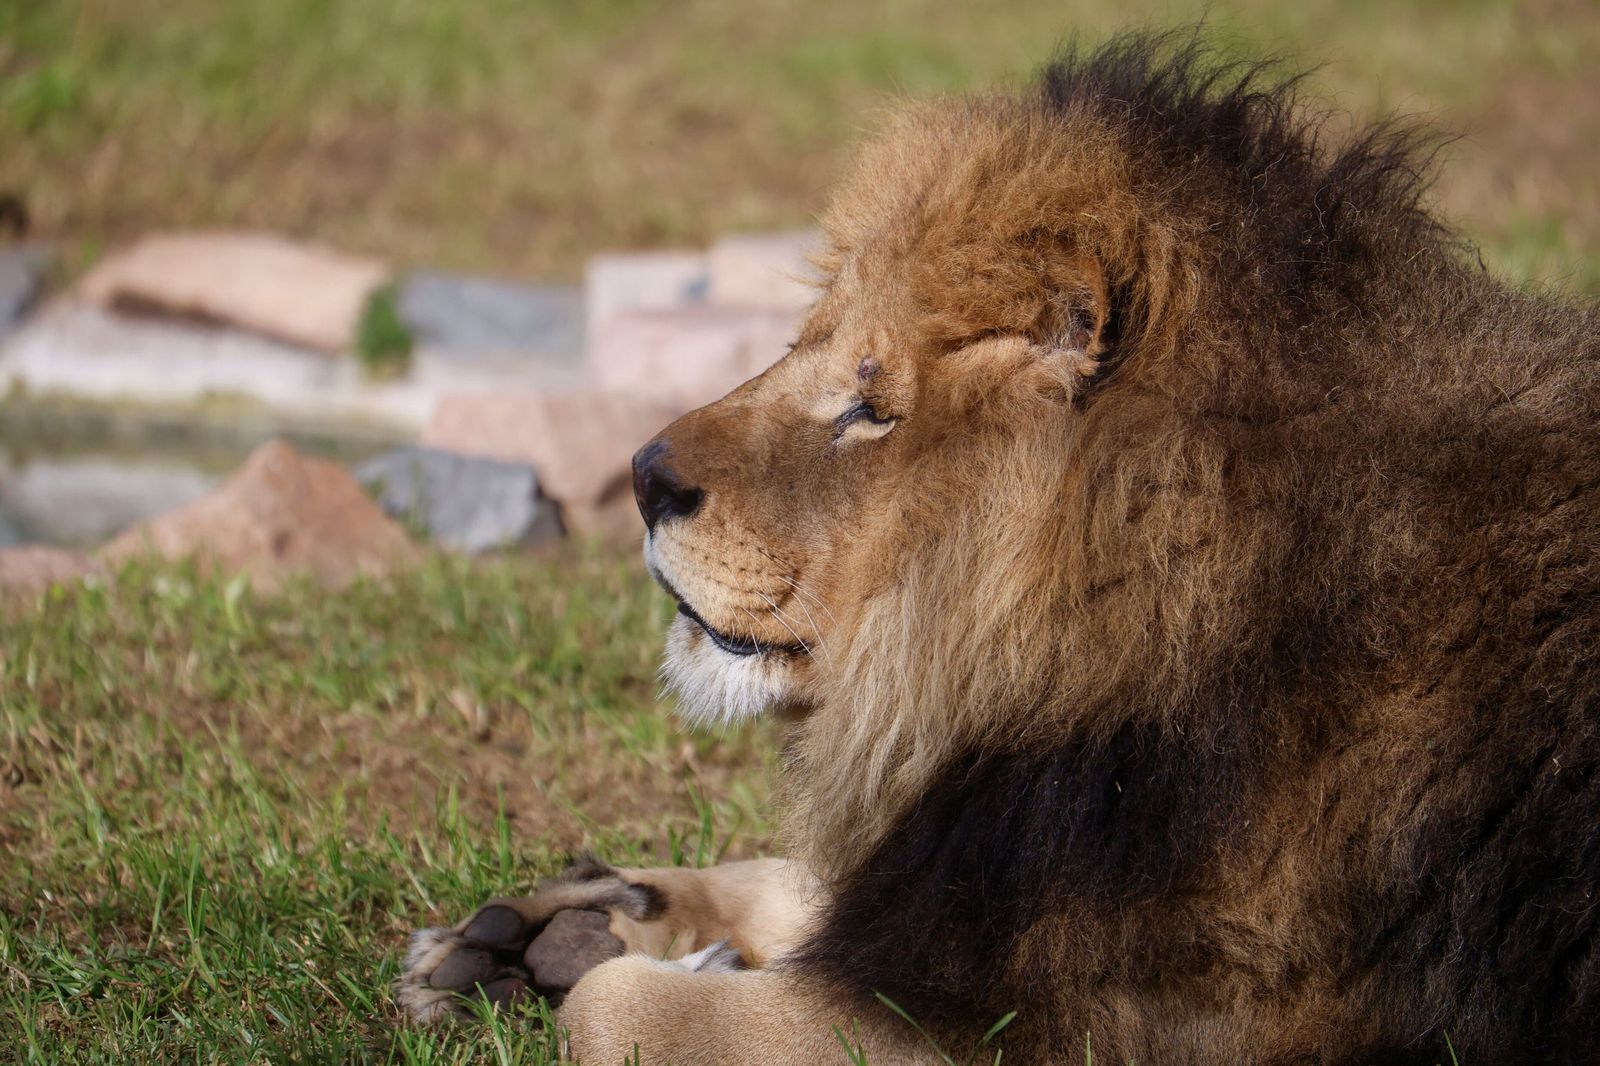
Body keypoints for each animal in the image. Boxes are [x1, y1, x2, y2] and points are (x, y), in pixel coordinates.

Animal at [398, 33, 1600, 1065]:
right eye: (801, 345)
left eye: (870, 407)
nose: (644, 476)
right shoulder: (956, 855)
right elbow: (803, 882)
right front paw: (548, 927)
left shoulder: (1060, 1027)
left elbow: (615, 1010)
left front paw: (601, 961)